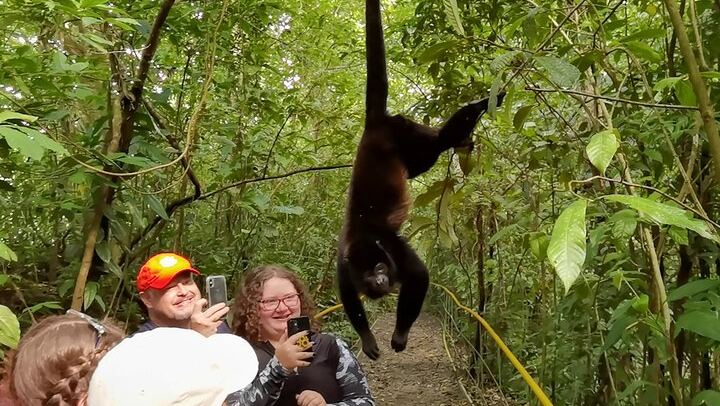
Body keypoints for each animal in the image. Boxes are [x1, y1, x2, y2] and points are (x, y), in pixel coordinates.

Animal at [336, 0, 505, 360]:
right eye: (369, 276)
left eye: (381, 269)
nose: (381, 283)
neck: (364, 239)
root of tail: (373, 126)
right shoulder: (344, 264)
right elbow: (347, 297)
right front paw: (367, 339)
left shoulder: (389, 244)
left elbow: (418, 274)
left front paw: (399, 334)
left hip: (403, 130)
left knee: (438, 141)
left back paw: (481, 106)